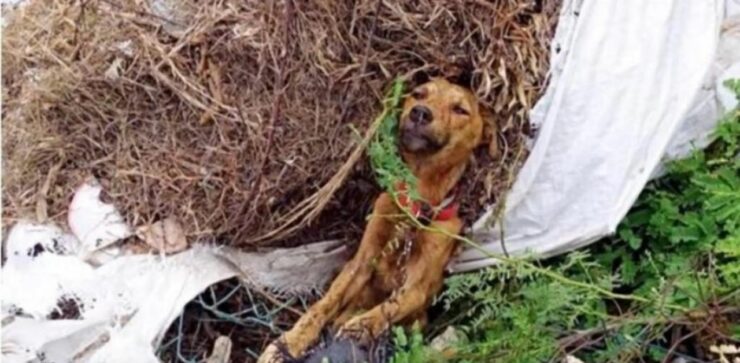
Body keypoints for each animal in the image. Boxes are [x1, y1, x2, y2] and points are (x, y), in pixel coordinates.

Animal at [258, 79, 494, 363]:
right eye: (418, 94)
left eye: (460, 109)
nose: (420, 113)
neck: (413, 205)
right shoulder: (361, 262)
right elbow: (324, 304)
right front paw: (291, 341)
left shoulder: (418, 287)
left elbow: (391, 306)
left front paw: (361, 327)